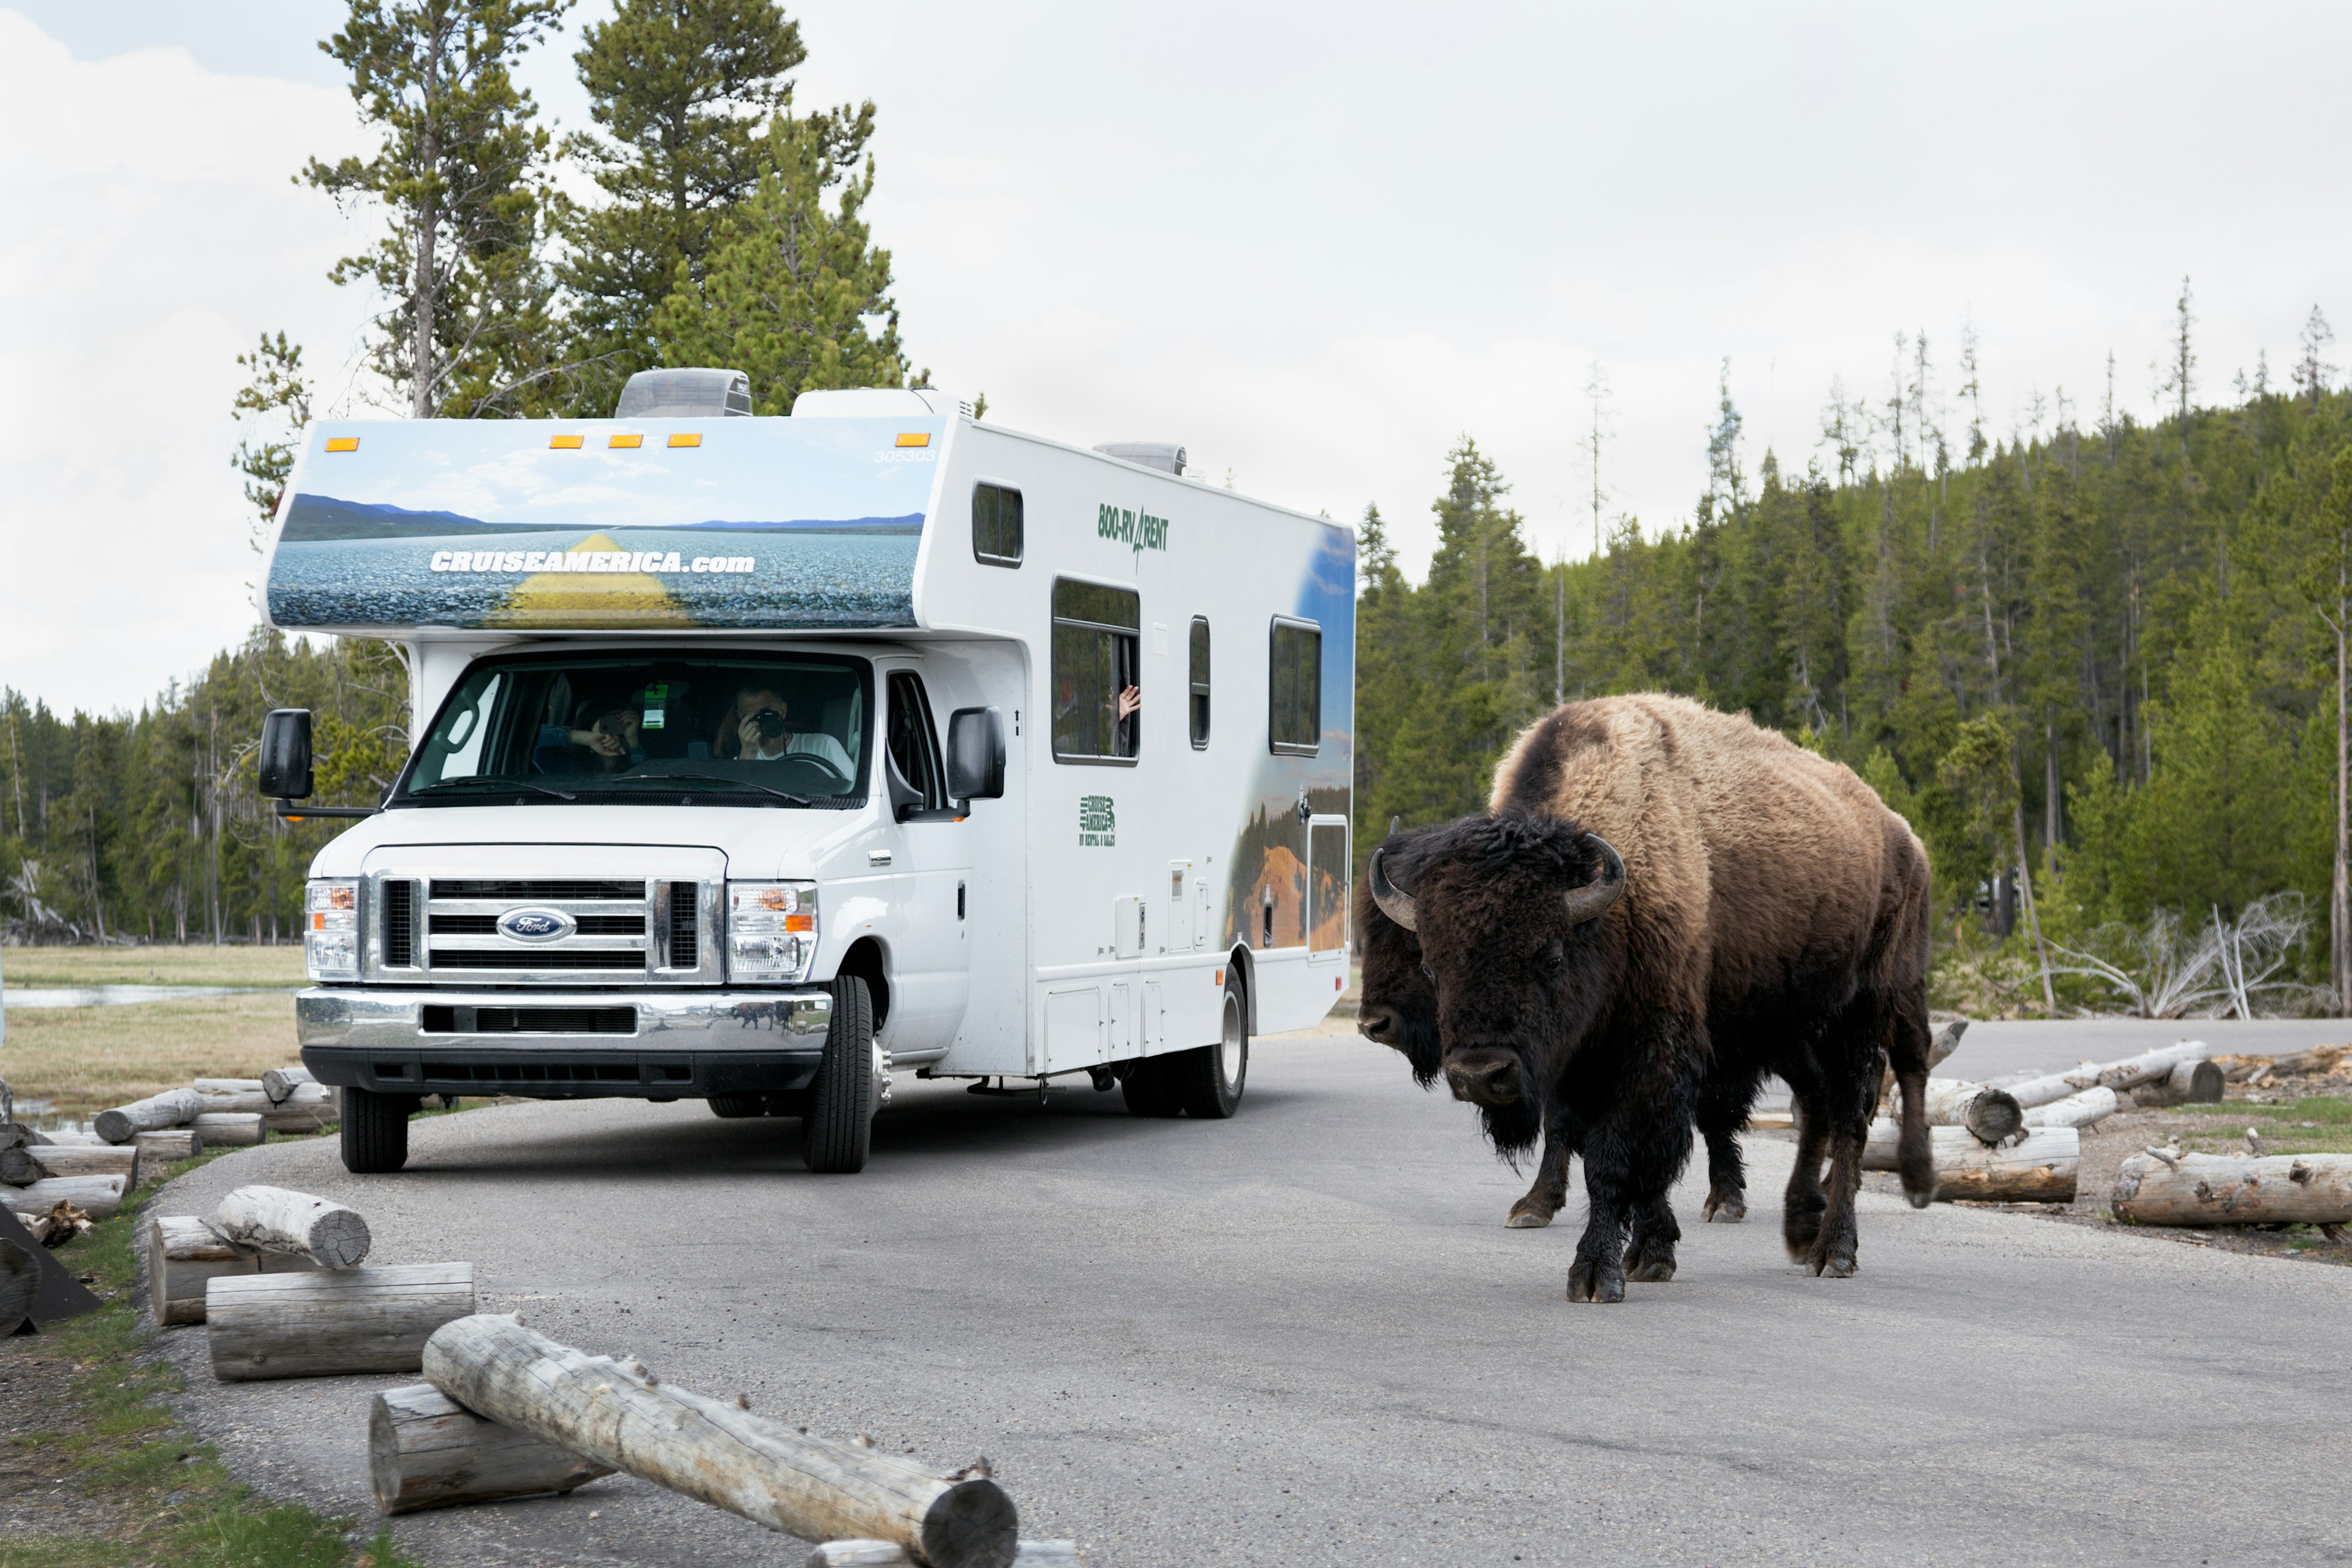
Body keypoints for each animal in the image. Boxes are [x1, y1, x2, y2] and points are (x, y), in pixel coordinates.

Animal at [1364, 696, 1928, 1297]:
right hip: (1788, 1024)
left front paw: (1597, 1274)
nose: (1480, 1075)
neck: (1613, 909)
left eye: (1552, 956)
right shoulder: (1578, 1064)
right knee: (1819, 1104)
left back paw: (1842, 1244)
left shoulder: (1652, 1052)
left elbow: (1616, 1161)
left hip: (1865, 1011)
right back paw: (1801, 1228)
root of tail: (1899, 833)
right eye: (1432, 964)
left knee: (1860, 1108)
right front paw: (1651, 1251)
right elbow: (1625, 1157)